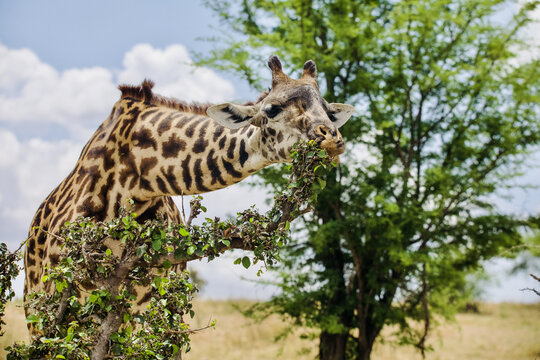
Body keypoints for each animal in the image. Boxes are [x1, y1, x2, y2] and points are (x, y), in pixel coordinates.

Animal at [24, 54, 354, 328]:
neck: (135, 183)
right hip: (38, 313)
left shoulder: (158, 309)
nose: (332, 140)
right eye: (272, 110)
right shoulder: (65, 303)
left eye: (328, 111)